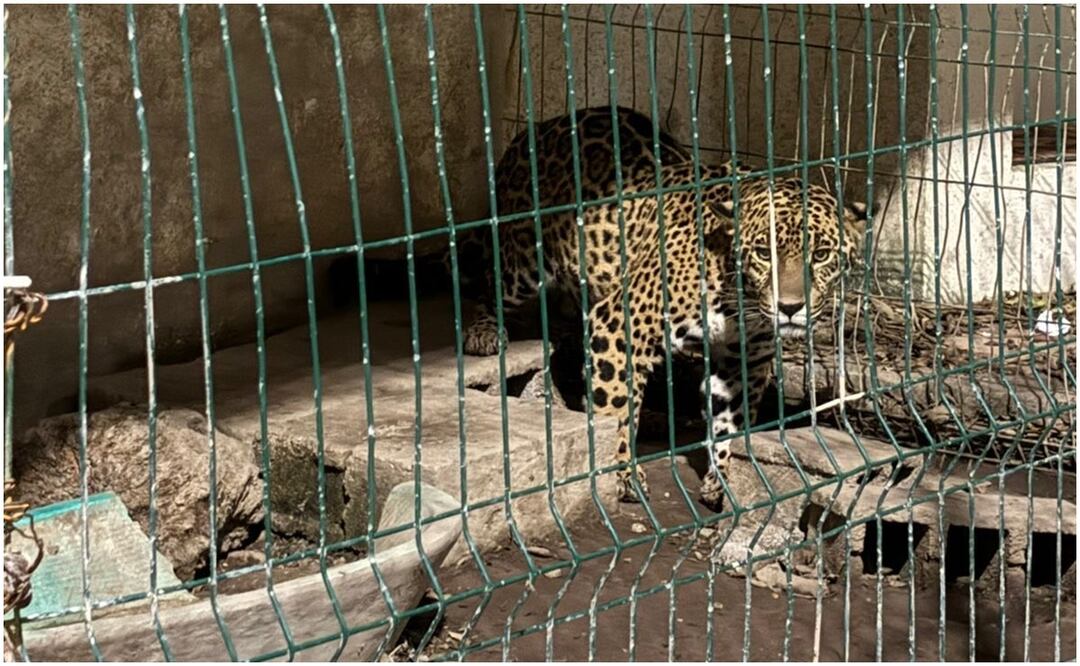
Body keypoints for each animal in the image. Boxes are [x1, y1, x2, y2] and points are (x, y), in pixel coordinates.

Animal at [458, 106, 869, 509]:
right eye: (763, 253)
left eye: (822, 254)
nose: (790, 307)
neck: (737, 296)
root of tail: (540, 125)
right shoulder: (617, 327)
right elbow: (617, 409)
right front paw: (623, 474)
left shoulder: (744, 362)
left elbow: (730, 421)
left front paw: (720, 480)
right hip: (525, 260)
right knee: (488, 282)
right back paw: (483, 333)